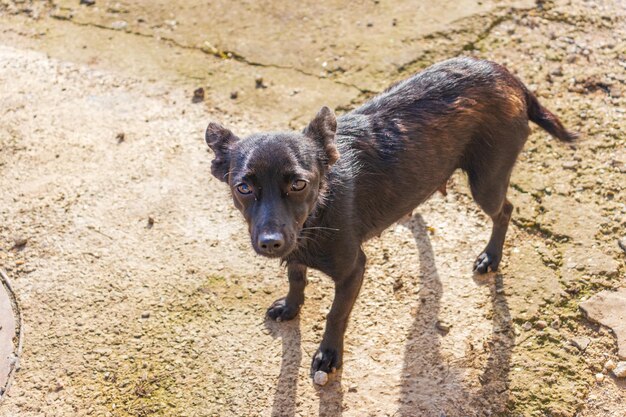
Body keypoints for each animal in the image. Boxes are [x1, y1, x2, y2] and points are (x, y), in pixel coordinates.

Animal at [205, 57, 576, 374]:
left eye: (298, 184)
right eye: (243, 188)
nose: (271, 243)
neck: (318, 211)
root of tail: (506, 75)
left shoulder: (353, 270)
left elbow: (335, 315)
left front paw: (329, 355)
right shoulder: (296, 249)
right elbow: (296, 279)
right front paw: (291, 307)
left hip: (486, 183)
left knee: (506, 210)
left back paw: (491, 257)